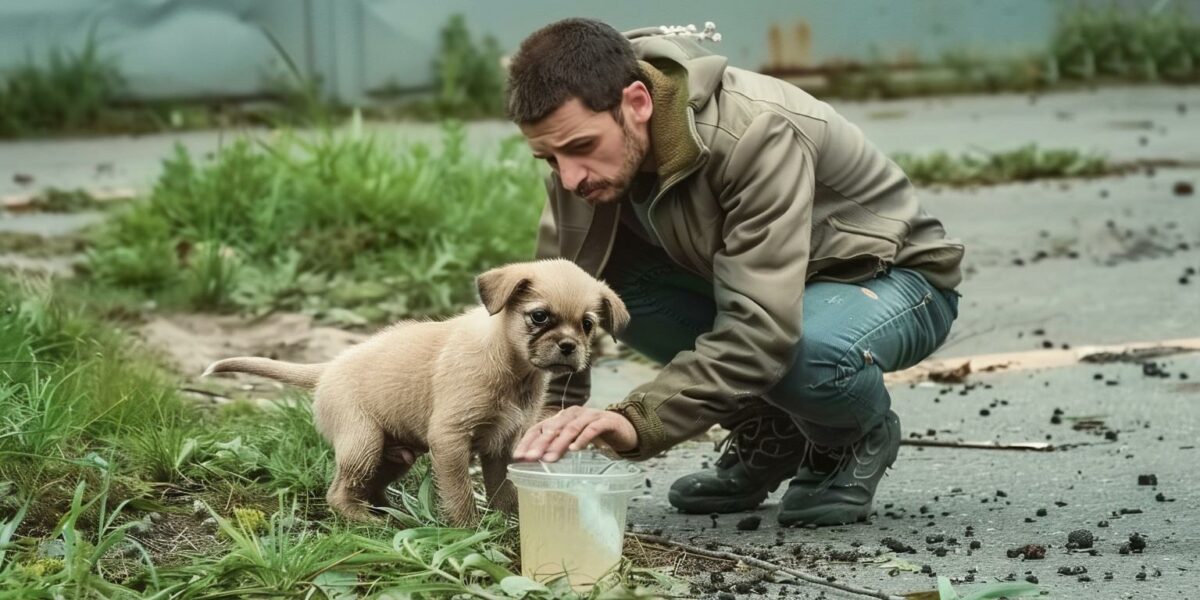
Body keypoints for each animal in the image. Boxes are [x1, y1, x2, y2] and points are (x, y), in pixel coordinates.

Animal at [199, 259, 628, 525]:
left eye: (588, 325)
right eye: (539, 316)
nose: (569, 347)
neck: (512, 367)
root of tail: (329, 368)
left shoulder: (501, 444)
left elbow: (502, 488)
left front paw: (509, 523)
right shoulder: (450, 439)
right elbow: (459, 492)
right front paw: (469, 530)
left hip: (393, 454)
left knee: (370, 486)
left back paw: (389, 512)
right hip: (363, 442)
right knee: (338, 492)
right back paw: (364, 520)